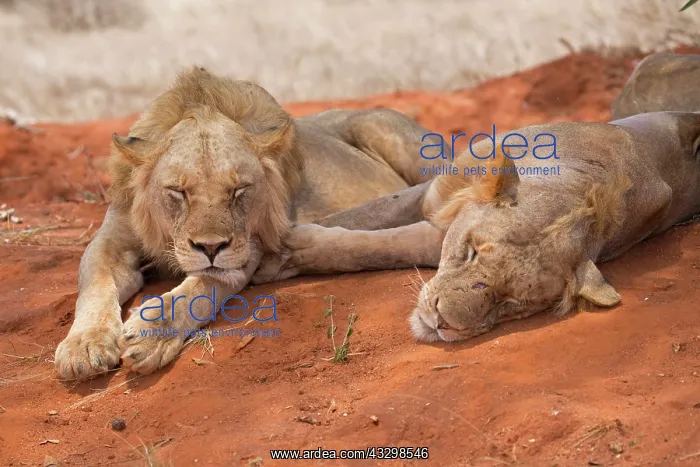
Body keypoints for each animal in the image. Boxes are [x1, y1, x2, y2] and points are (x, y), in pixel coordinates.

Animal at [53, 66, 447, 380]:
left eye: (238, 190)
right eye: (178, 191)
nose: (211, 246)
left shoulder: (247, 247)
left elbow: (200, 290)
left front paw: (155, 333)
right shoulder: (111, 240)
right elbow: (94, 285)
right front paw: (84, 346)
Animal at [253, 111, 700, 342]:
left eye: (513, 303)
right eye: (469, 252)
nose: (441, 323)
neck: (578, 187)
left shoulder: (434, 230)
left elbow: (377, 248)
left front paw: (287, 254)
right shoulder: (433, 193)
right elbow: (369, 216)